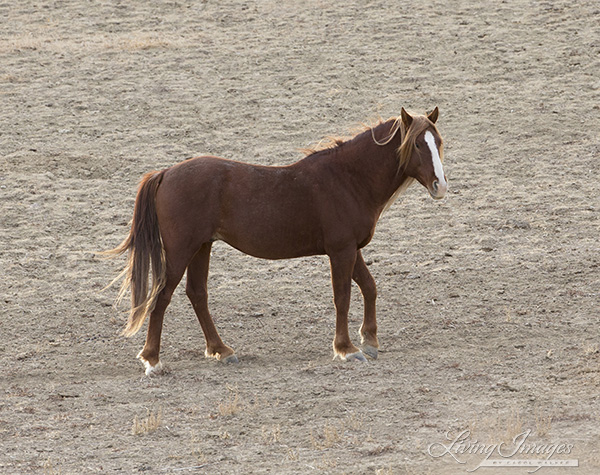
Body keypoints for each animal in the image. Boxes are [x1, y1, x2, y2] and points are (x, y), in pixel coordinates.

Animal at [108, 109, 446, 376]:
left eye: (439, 142)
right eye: (417, 144)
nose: (440, 186)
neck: (348, 179)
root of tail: (165, 173)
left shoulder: (352, 250)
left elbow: (369, 287)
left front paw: (370, 341)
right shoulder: (341, 251)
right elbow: (343, 297)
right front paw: (346, 348)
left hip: (202, 247)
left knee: (197, 294)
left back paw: (221, 350)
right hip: (182, 251)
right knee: (162, 296)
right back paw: (153, 360)